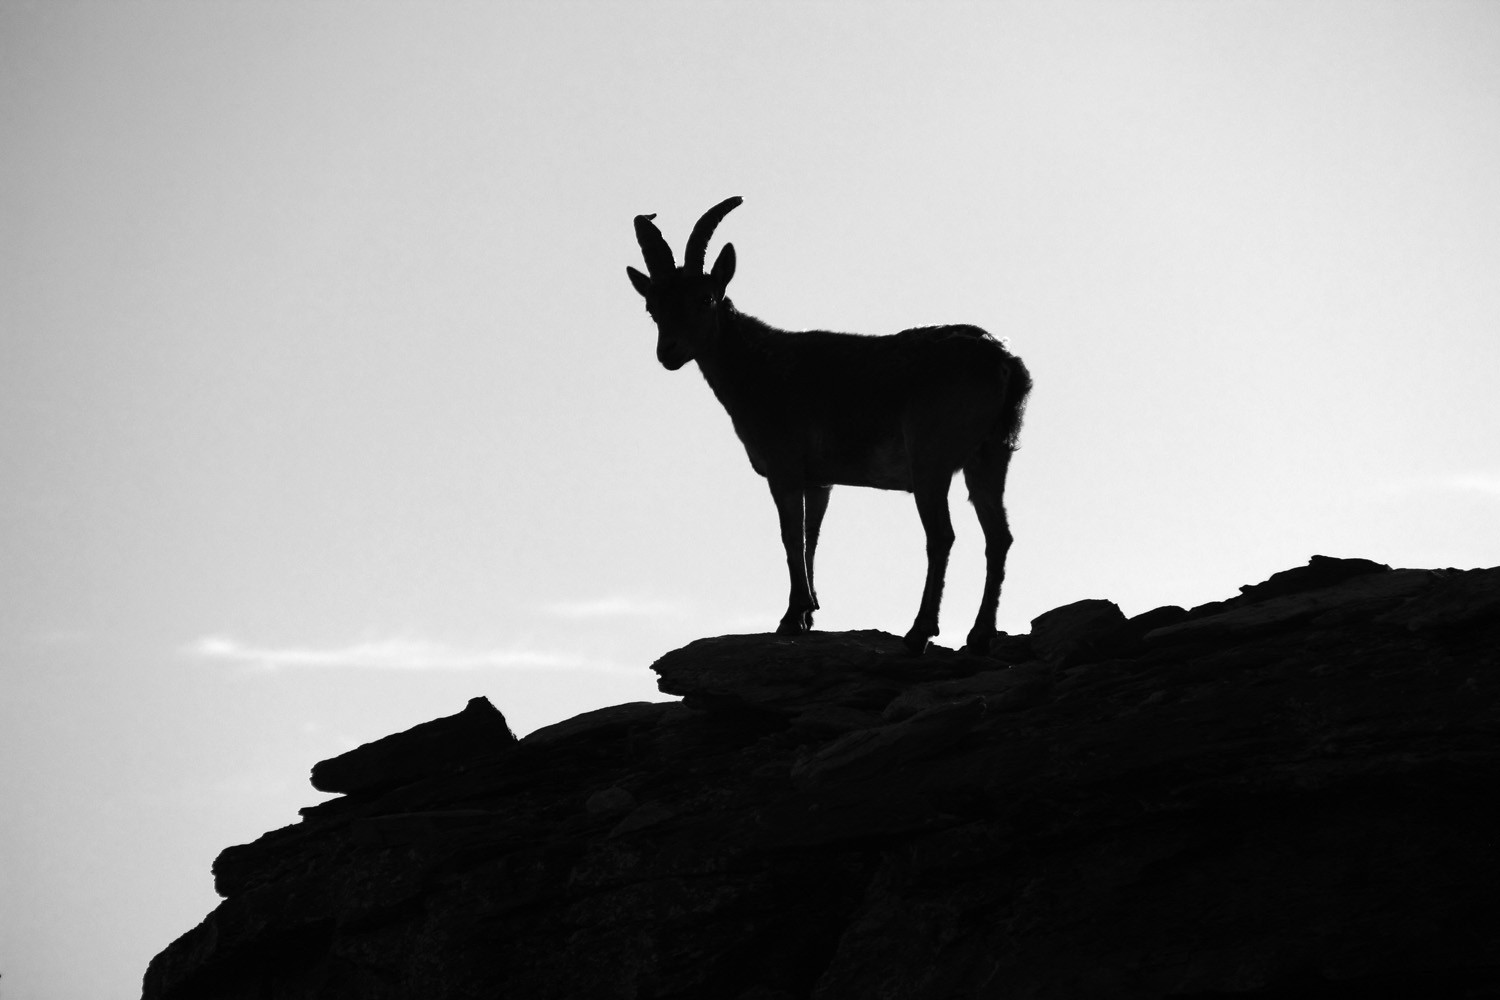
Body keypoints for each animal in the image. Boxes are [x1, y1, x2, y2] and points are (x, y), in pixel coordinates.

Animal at [624, 196, 1032, 656]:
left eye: (706, 297)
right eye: (652, 306)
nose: (669, 352)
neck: (758, 368)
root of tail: (1006, 364)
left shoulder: (784, 466)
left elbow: (790, 536)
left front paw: (790, 617)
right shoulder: (820, 479)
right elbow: (811, 537)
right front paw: (808, 613)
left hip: (931, 459)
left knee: (943, 535)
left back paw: (920, 631)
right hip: (991, 454)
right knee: (998, 535)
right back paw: (980, 634)